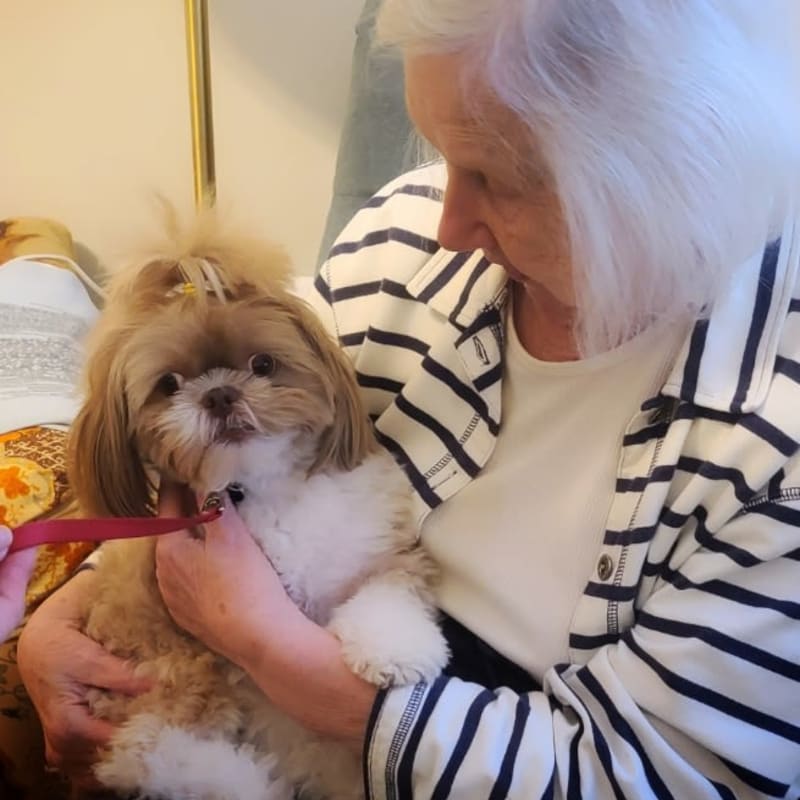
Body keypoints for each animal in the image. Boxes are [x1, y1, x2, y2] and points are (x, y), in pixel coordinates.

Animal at [65, 217, 446, 800]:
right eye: (168, 384)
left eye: (262, 363)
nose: (219, 394)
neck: (265, 486)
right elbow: (160, 754)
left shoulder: (377, 551)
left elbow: (387, 592)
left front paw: (396, 651)